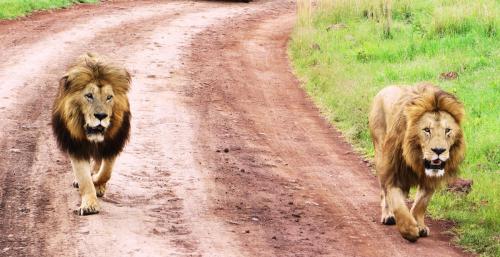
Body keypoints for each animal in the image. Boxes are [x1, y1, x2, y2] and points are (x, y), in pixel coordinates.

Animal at [51, 53, 131, 215]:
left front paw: (97, 183)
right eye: (89, 95)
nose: (101, 116)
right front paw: (89, 205)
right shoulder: (76, 146)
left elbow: (106, 172)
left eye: (109, 97)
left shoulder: (112, 144)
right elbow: (84, 179)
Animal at [368, 83, 464, 241]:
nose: (439, 150)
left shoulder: (430, 180)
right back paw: (388, 216)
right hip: (381, 154)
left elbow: (421, 204)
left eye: (447, 130)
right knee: (384, 191)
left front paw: (419, 226)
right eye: (426, 130)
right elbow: (397, 202)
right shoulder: (394, 172)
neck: (416, 159)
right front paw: (409, 229)